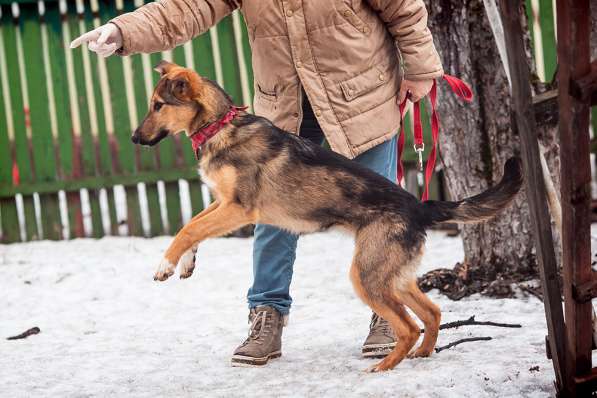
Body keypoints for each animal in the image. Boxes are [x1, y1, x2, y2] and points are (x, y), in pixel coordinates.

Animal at [130, 60, 520, 372]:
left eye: (158, 106)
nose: (134, 138)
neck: (221, 126)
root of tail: (420, 206)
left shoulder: (238, 208)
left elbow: (188, 229)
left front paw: (164, 264)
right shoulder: (222, 203)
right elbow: (193, 225)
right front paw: (185, 263)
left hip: (366, 275)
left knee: (409, 327)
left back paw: (382, 367)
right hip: (392, 276)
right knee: (432, 314)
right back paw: (421, 354)